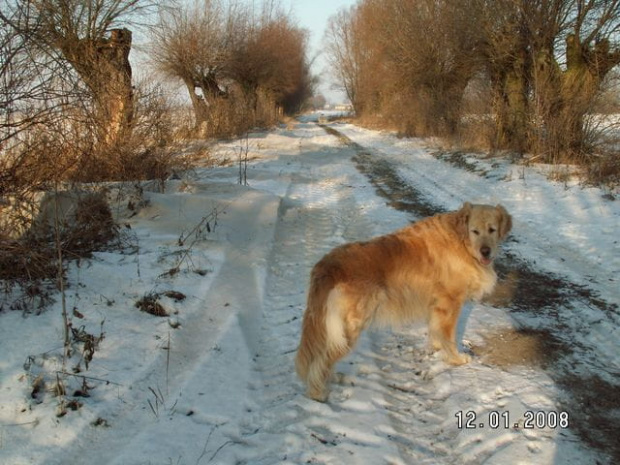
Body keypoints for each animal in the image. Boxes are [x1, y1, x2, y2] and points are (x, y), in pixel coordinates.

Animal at [296, 201, 512, 400]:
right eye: (475, 231)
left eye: (492, 230)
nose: (486, 251)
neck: (461, 241)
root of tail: (325, 267)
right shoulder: (450, 302)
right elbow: (448, 336)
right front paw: (455, 359)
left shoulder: (437, 306)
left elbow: (436, 330)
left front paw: (436, 348)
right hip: (348, 328)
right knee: (321, 361)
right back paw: (318, 393)